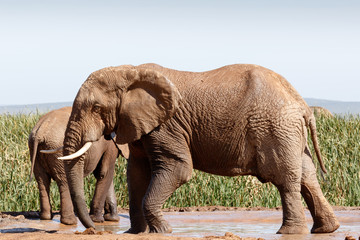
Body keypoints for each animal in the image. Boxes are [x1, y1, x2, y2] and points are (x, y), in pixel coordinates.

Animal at [61, 63, 340, 234]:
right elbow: (137, 173)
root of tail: (302, 105)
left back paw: (289, 232)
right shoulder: (139, 123)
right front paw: (137, 233)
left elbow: (178, 169)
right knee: (307, 176)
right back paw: (326, 230)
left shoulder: (168, 124)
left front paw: (164, 231)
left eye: (96, 108)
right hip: (288, 132)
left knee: (285, 179)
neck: (130, 71)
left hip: (275, 129)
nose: (92, 229)